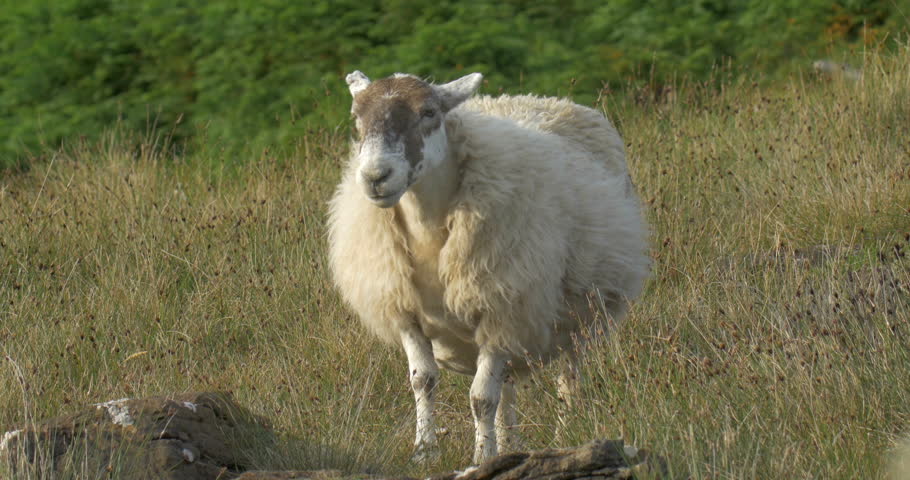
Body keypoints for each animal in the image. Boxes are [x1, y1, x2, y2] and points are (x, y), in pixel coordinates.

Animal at [327, 70, 650, 464]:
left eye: (428, 112)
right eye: (356, 118)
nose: (376, 176)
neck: (427, 229)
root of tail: (545, 99)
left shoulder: (499, 308)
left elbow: (481, 399)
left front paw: (481, 457)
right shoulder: (404, 309)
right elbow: (423, 380)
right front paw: (425, 451)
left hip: (576, 316)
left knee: (567, 382)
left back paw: (563, 438)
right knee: (507, 388)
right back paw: (510, 445)